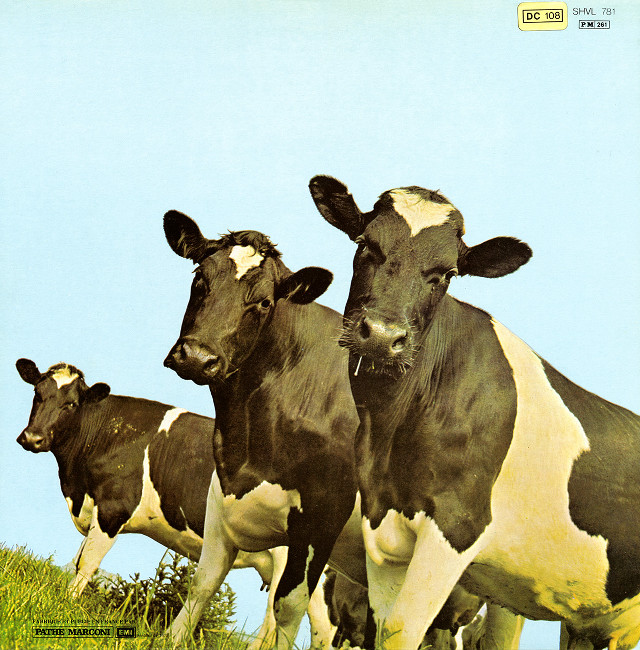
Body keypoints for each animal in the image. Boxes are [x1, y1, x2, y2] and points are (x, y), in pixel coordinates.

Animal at [15, 359, 274, 602]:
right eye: (37, 393)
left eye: (71, 404)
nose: (33, 438)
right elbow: (78, 558)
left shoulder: (113, 509)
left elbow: (87, 563)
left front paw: (68, 604)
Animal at [309, 175, 640, 650]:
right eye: (365, 244)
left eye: (446, 274)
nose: (384, 336)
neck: (387, 430)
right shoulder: (381, 526)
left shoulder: (455, 525)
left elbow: (401, 630)